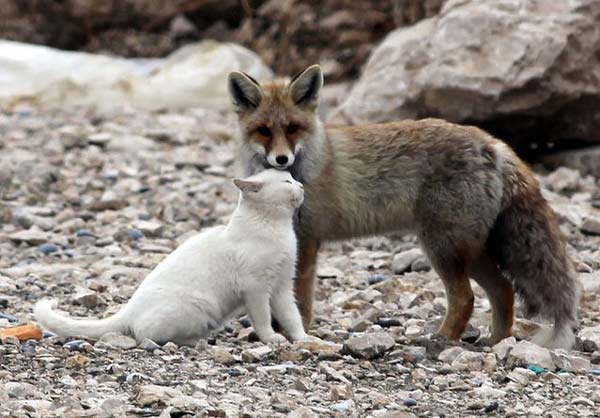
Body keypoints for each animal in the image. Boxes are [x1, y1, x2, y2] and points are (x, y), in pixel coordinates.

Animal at [34, 168, 312, 344]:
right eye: (286, 182)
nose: (301, 185)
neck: (277, 228)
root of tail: (128, 309)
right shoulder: (256, 289)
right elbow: (263, 319)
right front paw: (272, 339)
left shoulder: (282, 286)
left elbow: (292, 317)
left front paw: (303, 339)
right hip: (198, 307)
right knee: (147, 335)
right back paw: (195, 341)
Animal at [226, 63, 580, 348]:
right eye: (263, 131)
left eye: (292, 128)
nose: (281, 159)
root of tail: (493, 143)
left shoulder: (308, 240)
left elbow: (300, 300)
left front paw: (297, 332)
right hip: (470, 250)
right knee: (503, 291)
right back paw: (497, 342)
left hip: (443, 247)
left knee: (465, 298)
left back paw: (441, 340)